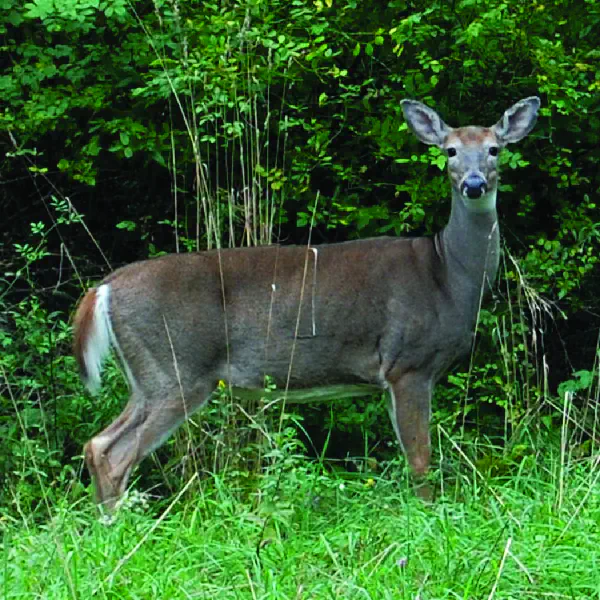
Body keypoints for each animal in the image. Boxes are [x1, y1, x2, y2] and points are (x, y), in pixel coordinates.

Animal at [74, 96, 540, 508]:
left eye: (495, 148)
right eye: (450, 151)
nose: (474, 184)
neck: (448, 275)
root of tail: (104, 288)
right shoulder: (409, 363)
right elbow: (420, 460)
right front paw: (426, 514)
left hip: (147, 375)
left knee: (96, 443)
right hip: (175, 367)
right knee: (114, 453)